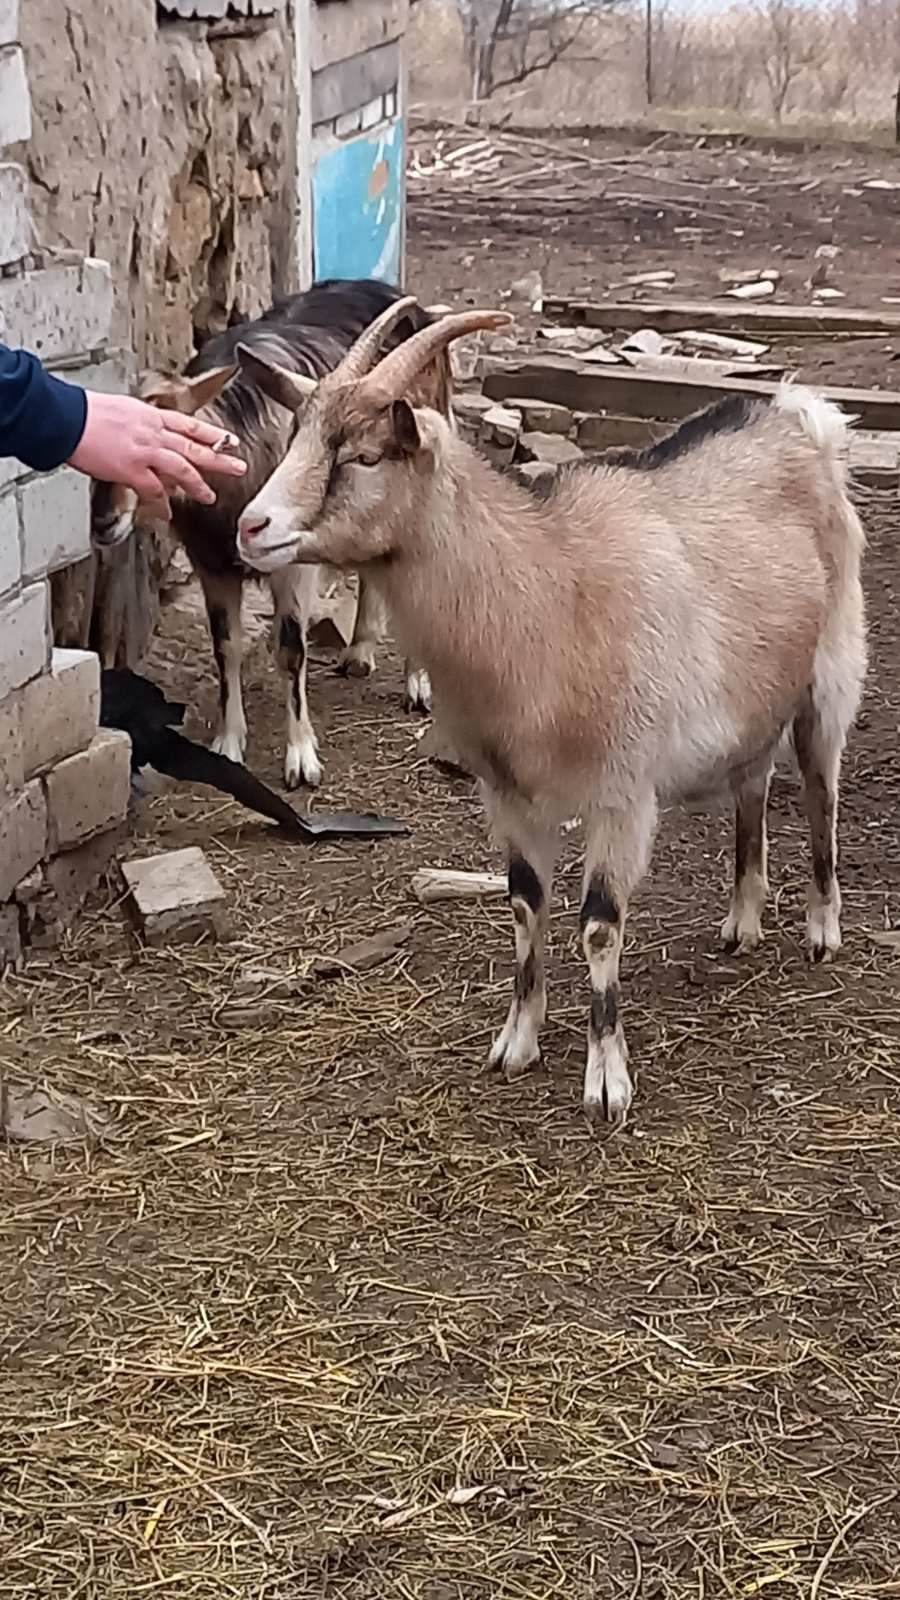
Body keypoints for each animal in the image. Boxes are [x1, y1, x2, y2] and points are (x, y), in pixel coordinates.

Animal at [91, 286, 448, 793]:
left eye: (168, 437)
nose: (103, 522)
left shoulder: (292, 562)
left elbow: (291, 649)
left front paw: (301, 758)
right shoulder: (212, 565)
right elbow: (226, 647)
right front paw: (228, 743)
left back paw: (417, 684)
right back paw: (359, 651)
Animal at [229, 300, 864, 1126]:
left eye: (364, 457)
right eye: (296, 436)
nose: (251, 527)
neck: (547, 591)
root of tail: (799, 416)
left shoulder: (623, 792)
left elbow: (598, 924)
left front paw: (607, 1081)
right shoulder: (508, 791)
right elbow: (525, 907)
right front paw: (517, 1042)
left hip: (831, 670)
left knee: (821, 791)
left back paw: (821, 927)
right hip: (754, 693)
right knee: (752, 783)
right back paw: (743, 918)